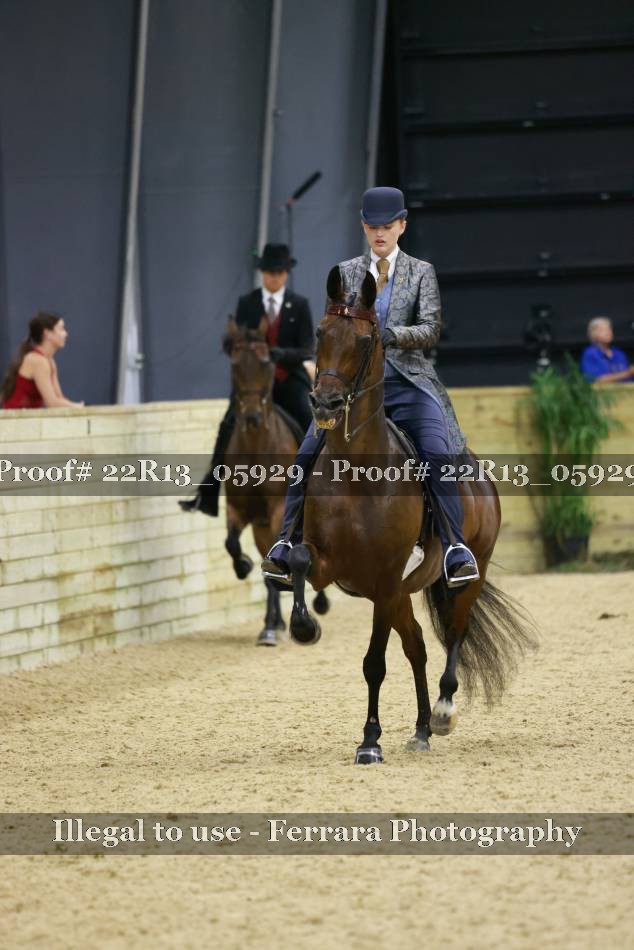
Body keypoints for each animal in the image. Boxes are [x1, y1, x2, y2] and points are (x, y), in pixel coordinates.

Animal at [223, 317, 329, 645]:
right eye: (234, 364)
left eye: (266, 362)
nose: (252, 417)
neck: (257, 447)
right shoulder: (237, 509)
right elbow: (232, 543)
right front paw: (242, 566)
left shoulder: (278, 512)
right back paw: (274, 622)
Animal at [285, 267, 536, 762]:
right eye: (321, 332)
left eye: (367, 339)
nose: (325, 405)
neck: (357, 474)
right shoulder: (336, 565)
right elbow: (301, 559)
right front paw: (304, 626)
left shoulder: (384, 581)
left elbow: (374, 663)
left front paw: (369, 742)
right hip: (402, 593)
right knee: (418, 645)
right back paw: (420, 729)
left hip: (464, 576)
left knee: (454, 632)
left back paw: (441, 713)